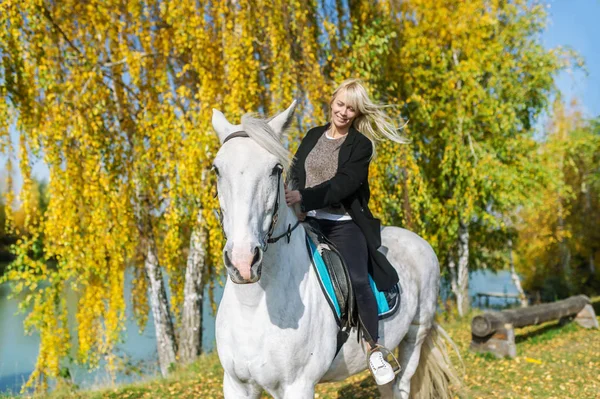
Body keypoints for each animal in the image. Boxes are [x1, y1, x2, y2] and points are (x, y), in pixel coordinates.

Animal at [211, 103, 460, 399]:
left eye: (275, 169)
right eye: (216, 169)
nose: (243, 262)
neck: (254, 306)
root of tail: (418, 241)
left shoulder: (299, 385)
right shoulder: (236, 384)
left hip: (415, 334)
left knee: (403, 382)